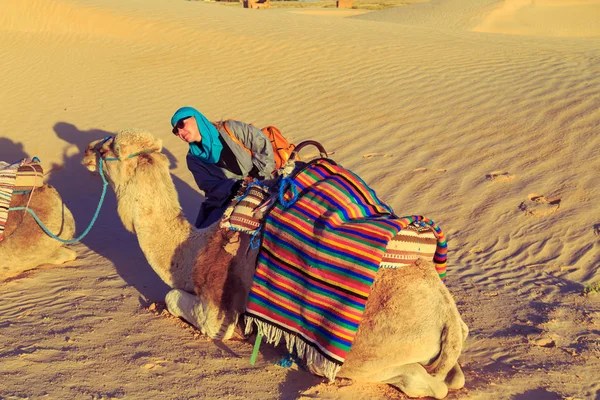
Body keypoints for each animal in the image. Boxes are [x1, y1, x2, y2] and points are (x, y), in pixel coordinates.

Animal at [83, 130, 468, 398]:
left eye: (110, 148)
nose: (87, 151)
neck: (191, 250)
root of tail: (447, 317)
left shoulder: (215, 311)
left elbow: (174, 298)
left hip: (366, 354)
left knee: (425, 383)